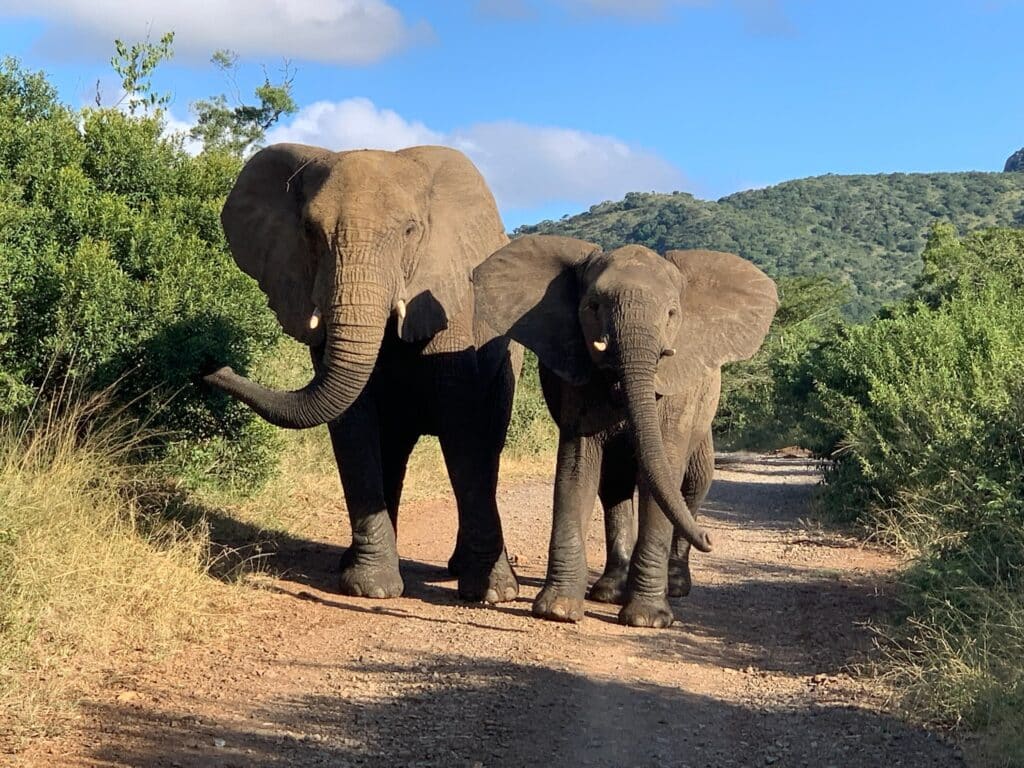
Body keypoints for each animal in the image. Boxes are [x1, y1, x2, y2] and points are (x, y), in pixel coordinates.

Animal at [202, 143, 520, 604]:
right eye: (309, 231)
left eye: (410, 231)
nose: (214, 367)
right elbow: (352, 423)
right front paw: (371, 588)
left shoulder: (449, 297)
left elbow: (461, 422)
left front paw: (493, 594)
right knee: (394, 450)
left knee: (488, 440)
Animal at [473, 235, 777, 627]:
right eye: (592, 306)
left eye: (672, 314)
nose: (711, 538)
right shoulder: (578, 377)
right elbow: (577, 469)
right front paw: (558, 610)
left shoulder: (676, 389)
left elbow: (663, 475)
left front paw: (647, 619)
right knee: (615, 486)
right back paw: (608, 592)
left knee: (692, 485)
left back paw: (675, 585)